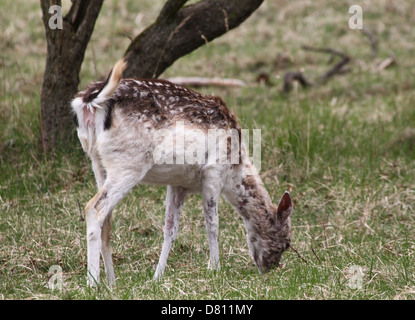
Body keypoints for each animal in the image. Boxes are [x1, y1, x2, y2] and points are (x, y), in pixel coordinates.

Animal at [71, 58, 292, 286]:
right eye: (287, 242)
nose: (269, 268)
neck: (235, 170)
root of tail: (88, 102)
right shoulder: (213, 172)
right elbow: (212, 224)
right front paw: (215, 269)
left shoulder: (178, 183)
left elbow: (170, 228)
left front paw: (157, 276)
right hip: (128, 164)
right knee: (94, 208)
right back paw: (93, 283)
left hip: (98, 162)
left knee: (107, 219)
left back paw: (112, 281)